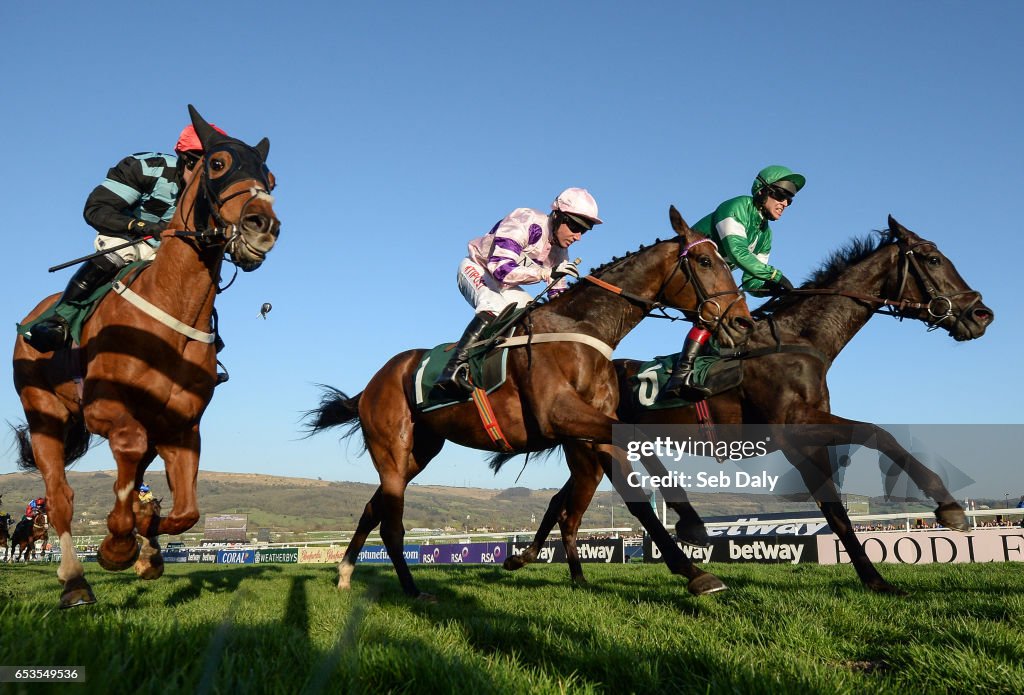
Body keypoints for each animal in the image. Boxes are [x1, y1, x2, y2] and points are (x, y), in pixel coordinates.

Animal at [12, 104, 284, 610]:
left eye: (271, 179)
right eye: (218, 164)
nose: (264, 227)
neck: (171, 311)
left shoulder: (181, 426)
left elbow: (184, 511)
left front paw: (143, 544)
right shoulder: (105, 411)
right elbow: (128, 460)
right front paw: (117, 546)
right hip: (45, 417)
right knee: (60, 497)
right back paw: (75, 581)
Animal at [307, 205, 757, 597]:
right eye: (704, 261)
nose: (742, 322)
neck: (582, 328)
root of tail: (373, 382)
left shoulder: (595, 430)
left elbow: (638, 498)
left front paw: (693, 562)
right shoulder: (559, 416)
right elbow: (636, 446)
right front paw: (692, 535)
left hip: (419, 451)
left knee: (374, 508)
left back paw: (345, 572)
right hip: (393, 446)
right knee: (391, 524)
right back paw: (412, 590)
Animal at [501, 215, 991, 593]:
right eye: (932, 259)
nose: (981, 314)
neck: (799, 340)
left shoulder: (808, 437)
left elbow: (838, 507)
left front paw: (876, 577)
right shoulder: (793, 428)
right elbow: (873, 438)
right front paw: (946, 508)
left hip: (591, 449)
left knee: (561, 502)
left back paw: (529, 560)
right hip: (588, 447)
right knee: (569, 506)